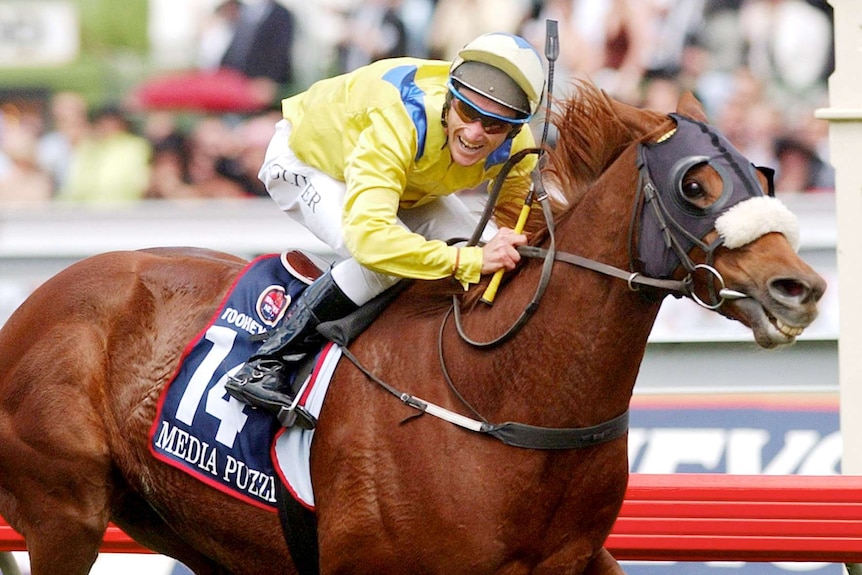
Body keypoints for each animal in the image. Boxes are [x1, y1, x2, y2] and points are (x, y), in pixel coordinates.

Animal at [0, 86, 824, 575]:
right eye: (696, 184)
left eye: (762, 174)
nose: (801, 288)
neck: (503, 394)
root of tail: (36, 302)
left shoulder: (579, 559)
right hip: (64, 513)